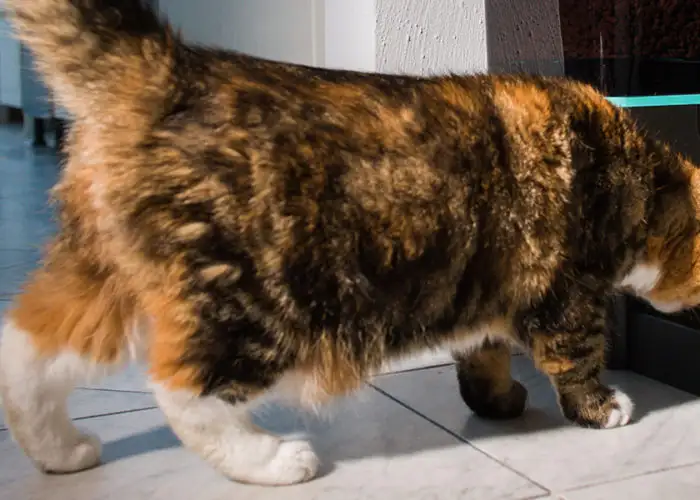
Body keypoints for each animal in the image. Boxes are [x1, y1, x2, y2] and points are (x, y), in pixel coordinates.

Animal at [1, 0, 700, 486]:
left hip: (103, 281)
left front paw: (497, 401)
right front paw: (602, 407)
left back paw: (60, 450)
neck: (641, 177)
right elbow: (576, 358)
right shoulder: (568, 294)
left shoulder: (492, 291)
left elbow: (483, 355)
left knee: (26, 350)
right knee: (182, 388)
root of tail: (172, 72)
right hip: (258, 302)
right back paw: (271, 459)